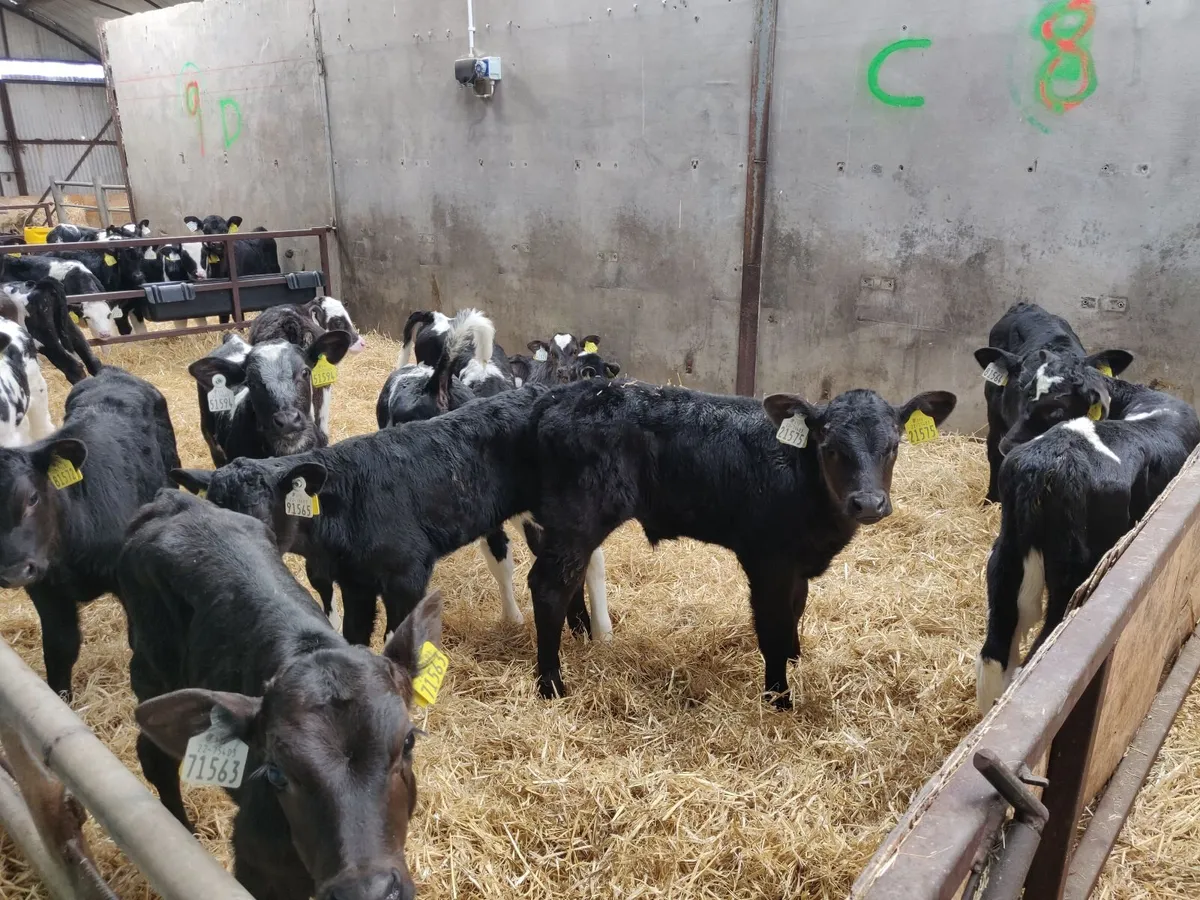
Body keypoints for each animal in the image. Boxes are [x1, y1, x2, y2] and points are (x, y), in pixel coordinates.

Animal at [0, 366, 179, 697]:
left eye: (32, 497)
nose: (14, 571)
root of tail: (110, 373)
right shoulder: (45, 587)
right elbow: (61, 647)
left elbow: (139, 642)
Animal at [120, 487, 440, 900]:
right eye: (275, 772)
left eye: (408, 742)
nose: (365, 891)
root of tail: (172, 499)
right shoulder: (258, 864)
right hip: (150, 671)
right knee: (154, 756)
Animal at [523, 380, 957, 706]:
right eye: (830, 448)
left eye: (893, 447)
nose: (867, 502)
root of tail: (563, 395)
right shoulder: (768, 561)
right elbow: (772, 625)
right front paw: (778, 697)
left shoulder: (797, 564)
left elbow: (796, 610)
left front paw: (795, 658)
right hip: (578, 515)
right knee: (549, 585)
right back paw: (551, 684)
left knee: (571, 577)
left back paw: (580, 635)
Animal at [975, 369, 1200, 712]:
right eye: (1026, 393)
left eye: (1056, 409)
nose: (1006, 443)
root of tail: (1047, 463)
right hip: (1074, 569)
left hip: (1007, 552)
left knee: (995, 651)